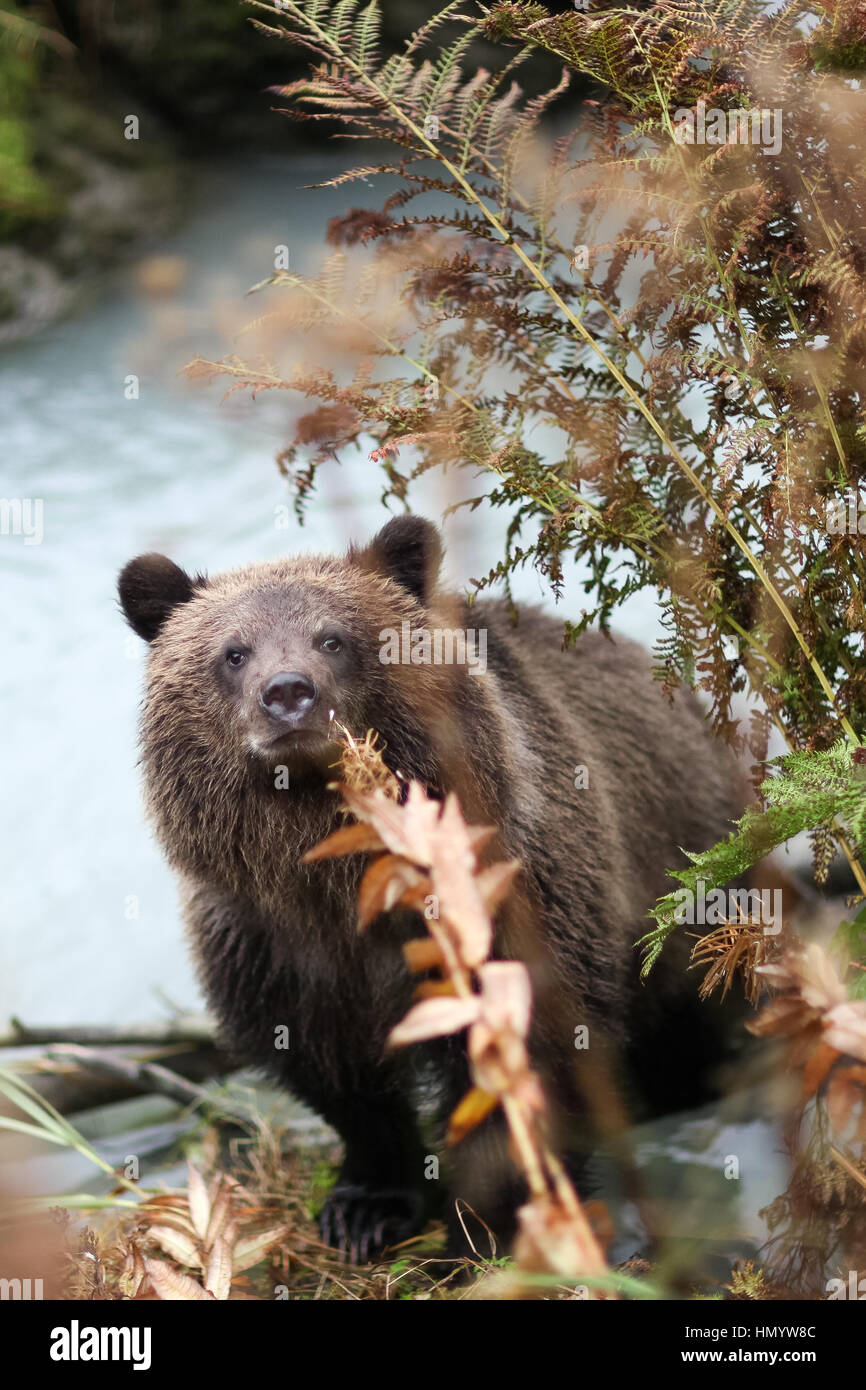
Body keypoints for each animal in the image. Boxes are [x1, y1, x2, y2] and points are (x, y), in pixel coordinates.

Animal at [118, 517, 745, 1267]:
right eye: (233, 652)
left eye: (333, 638)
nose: (289, 693)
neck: (340, 876)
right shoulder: (270, 939)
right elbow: (334, 1073)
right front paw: (366, 1209)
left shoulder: (512, 900)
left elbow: (526, 1051)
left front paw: (489, 1225)